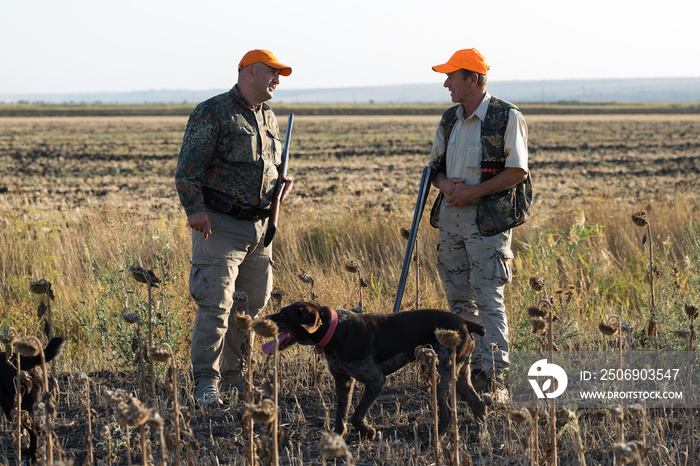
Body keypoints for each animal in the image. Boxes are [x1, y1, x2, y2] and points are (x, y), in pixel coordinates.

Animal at [264, 300, 486, 438]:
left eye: (283, 315)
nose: (263, 318)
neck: (335, 330)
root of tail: (465, 322)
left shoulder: (375, 380)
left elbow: (356, 415)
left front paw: (368, 432)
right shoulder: (343, 381)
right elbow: (341, 413)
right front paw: (337, 438)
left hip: (441, 373)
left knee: (448, 412)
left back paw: (436, 439)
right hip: (459, 374)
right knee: (478, 404)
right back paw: (481, 434)